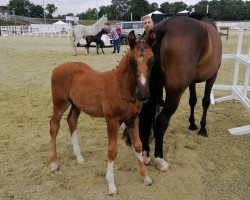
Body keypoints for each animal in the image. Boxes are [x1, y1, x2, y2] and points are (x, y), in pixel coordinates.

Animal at [48, 30, 155, 195]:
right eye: (132, 60)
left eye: (152, 60)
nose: (143, 95)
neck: (121, 88)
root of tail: (58, 68)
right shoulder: (111, 120)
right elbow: (112, 151)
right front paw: (111, 185)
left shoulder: (133, 119)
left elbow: (138, 145)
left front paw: (145, 177)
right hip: (60, 103)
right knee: (54, 125)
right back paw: (54, 164)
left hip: (76, 105)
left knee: (71, 121)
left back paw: (79, 158)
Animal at [138, 13, 222, 171]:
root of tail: (162, 28)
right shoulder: (212, 76)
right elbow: (205, 101)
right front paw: (202, 128)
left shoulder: (192, 82)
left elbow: (193, 100)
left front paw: (192, 124)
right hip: (175, 93)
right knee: (162, 120)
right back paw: (160, 159)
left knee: (145, 117)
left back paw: (145, 155)